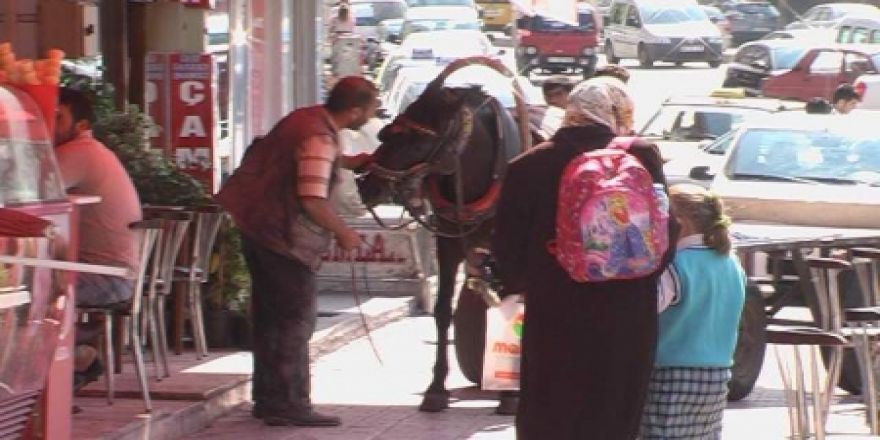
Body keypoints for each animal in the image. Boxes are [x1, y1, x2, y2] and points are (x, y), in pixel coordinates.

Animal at [356, 75, 524, 412]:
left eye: (417, 142)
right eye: (387, 131)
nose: (367, 186)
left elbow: (509, 308)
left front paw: (509, 395)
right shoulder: (447, 245)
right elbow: (443, 310)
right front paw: (435, 388)